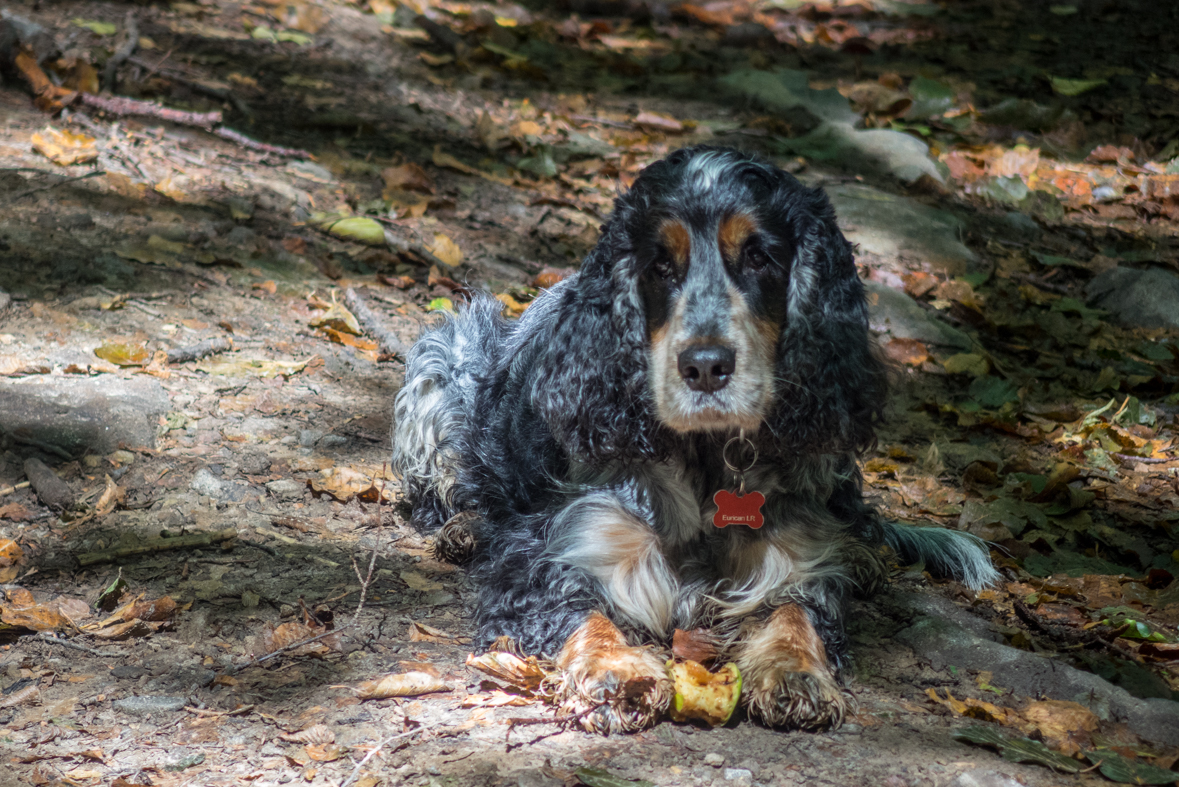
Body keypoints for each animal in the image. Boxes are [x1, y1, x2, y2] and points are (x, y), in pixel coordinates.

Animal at [393, 146, 995, 730]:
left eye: (759, 257)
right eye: (660, 265)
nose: (706, 366)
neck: (706, 460)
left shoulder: (788, 559)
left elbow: (795, 611)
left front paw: (796, 674)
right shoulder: (558, 555)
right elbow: (584, 614)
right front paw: (618, 673)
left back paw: (863, 554)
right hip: (443, 362)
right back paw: (465, 528)